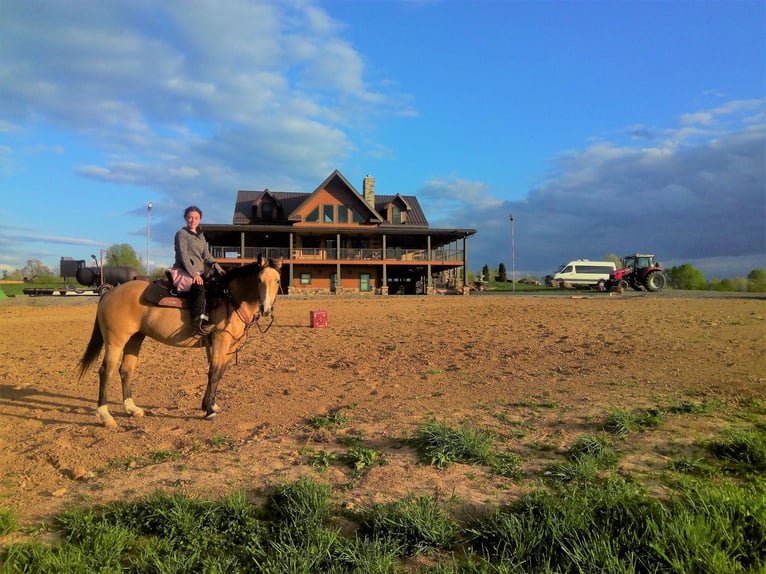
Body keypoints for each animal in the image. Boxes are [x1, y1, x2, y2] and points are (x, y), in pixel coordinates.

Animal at [79, 256, 282, 428]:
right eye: (259, 280)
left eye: (278, 281)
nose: (266, 309)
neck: (230, 298)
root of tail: (110, 293)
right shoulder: (220, 340)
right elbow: (214, 372)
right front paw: (209, 410)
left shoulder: (229, 346)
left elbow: (219, 373)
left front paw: (211, 405)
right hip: (115, 341)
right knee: (106, 372)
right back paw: (106, 416)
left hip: (134, 339)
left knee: (126, 370)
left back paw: (132, 409)